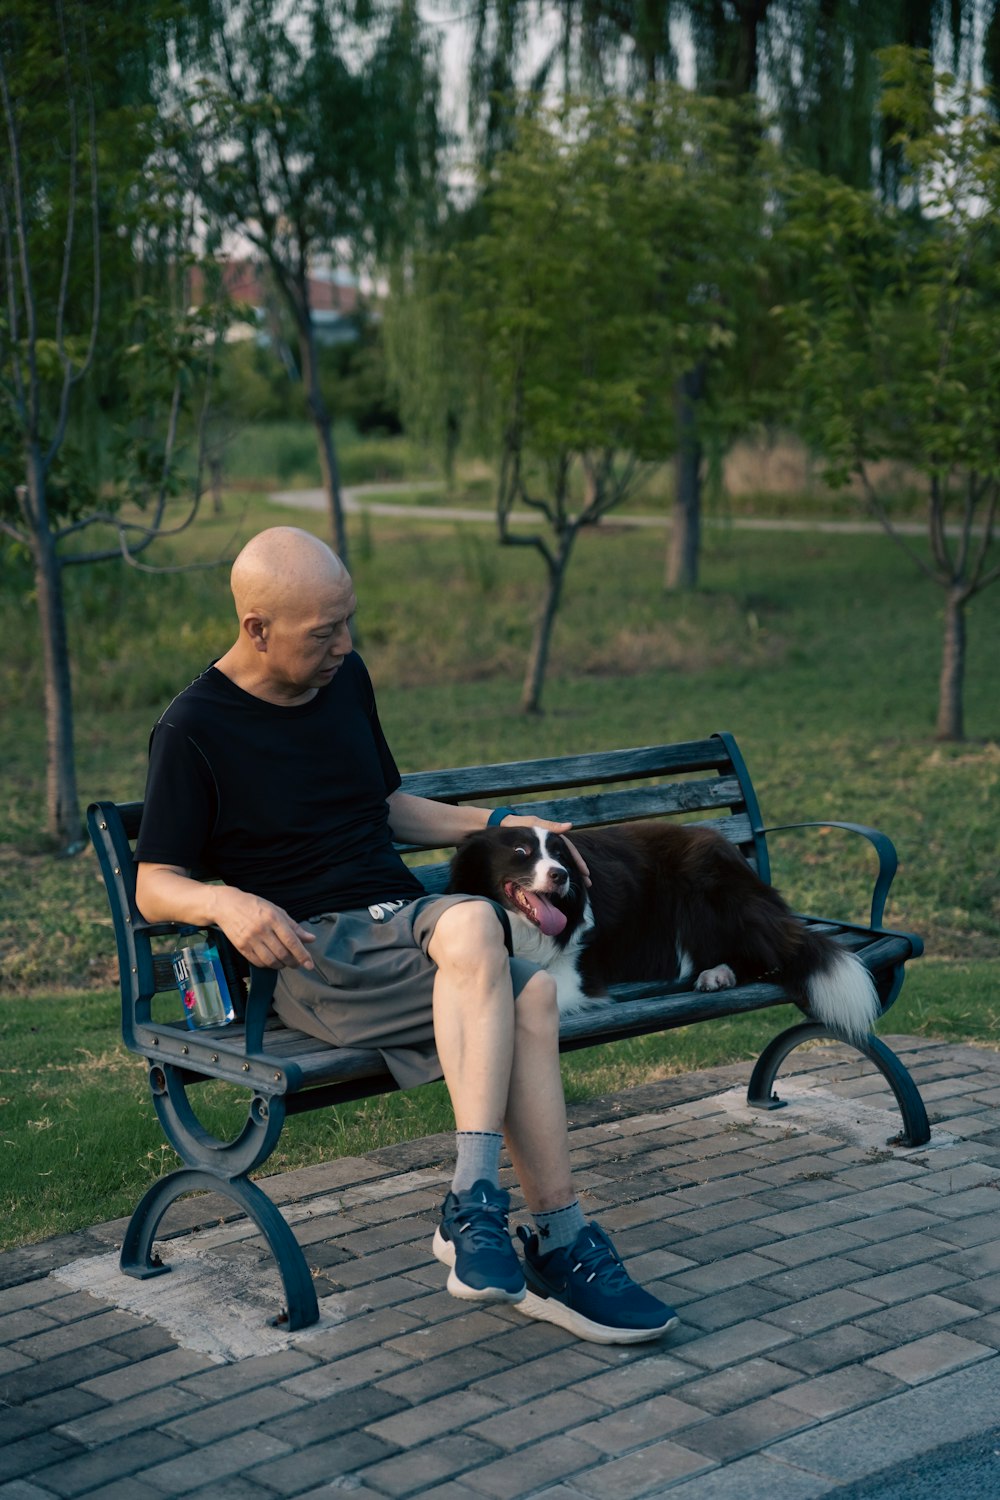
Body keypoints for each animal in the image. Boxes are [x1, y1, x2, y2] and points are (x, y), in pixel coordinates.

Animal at [449, 822, 881, 1044]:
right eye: (521, 852)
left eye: (558, 854)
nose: (561, 876)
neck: (521, 929)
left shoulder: (574, 974)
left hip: (708, 892)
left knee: (771, 953)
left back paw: (718, 974)